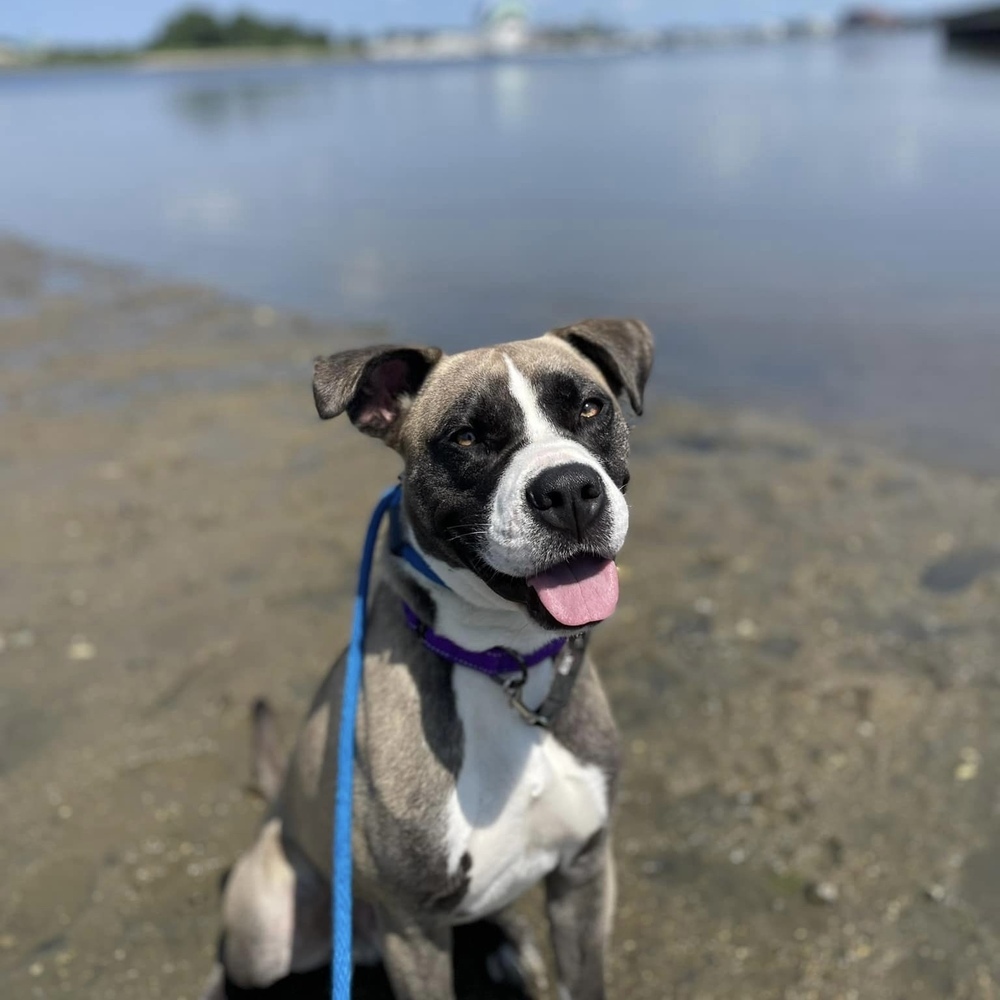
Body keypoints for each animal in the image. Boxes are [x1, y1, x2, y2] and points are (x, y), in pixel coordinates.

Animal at [204, 318, 656, 1000]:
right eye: (466, 437)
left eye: (589, 407)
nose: (569, 490)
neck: (503, 663)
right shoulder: (413, 928)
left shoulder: (584, 874)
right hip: (267, 926)